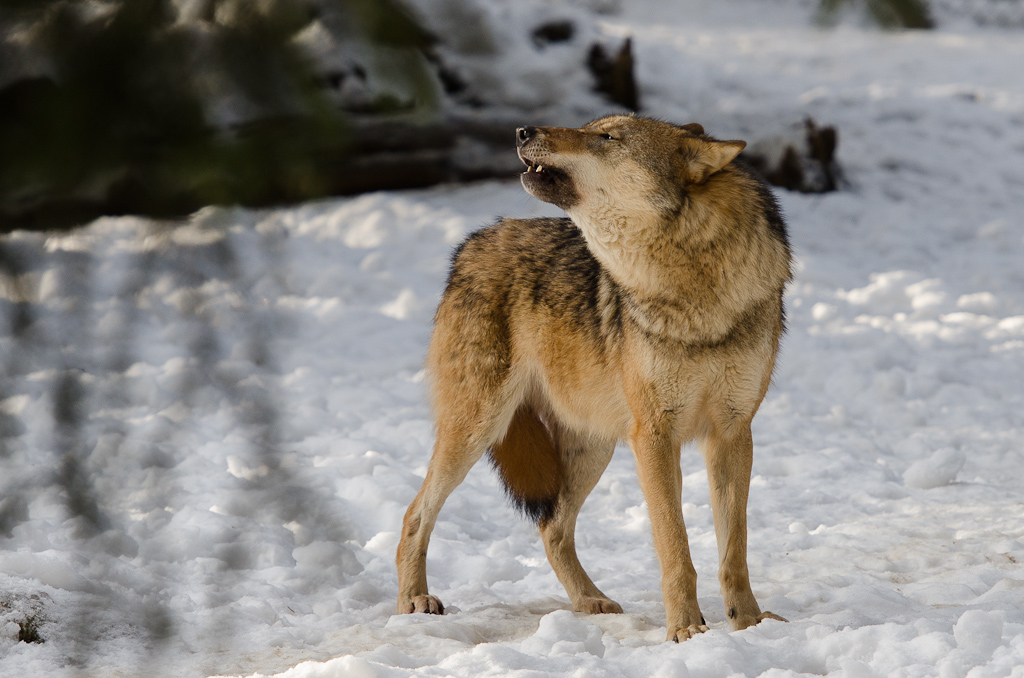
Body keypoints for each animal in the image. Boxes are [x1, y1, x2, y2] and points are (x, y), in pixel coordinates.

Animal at [395, 115, 792, 641]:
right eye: (591, 127)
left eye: (607, 138)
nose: (522, 131)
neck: (691, 285)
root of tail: (476, 240)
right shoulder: (655, 436)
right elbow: (675, 547)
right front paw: (686, 629)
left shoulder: (732, 432)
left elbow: (735, 551)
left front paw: (749, 624)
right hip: (478, 429)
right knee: (415, 513)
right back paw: (412, 601)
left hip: (591, 447)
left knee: (552, 528)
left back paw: (590, 601)